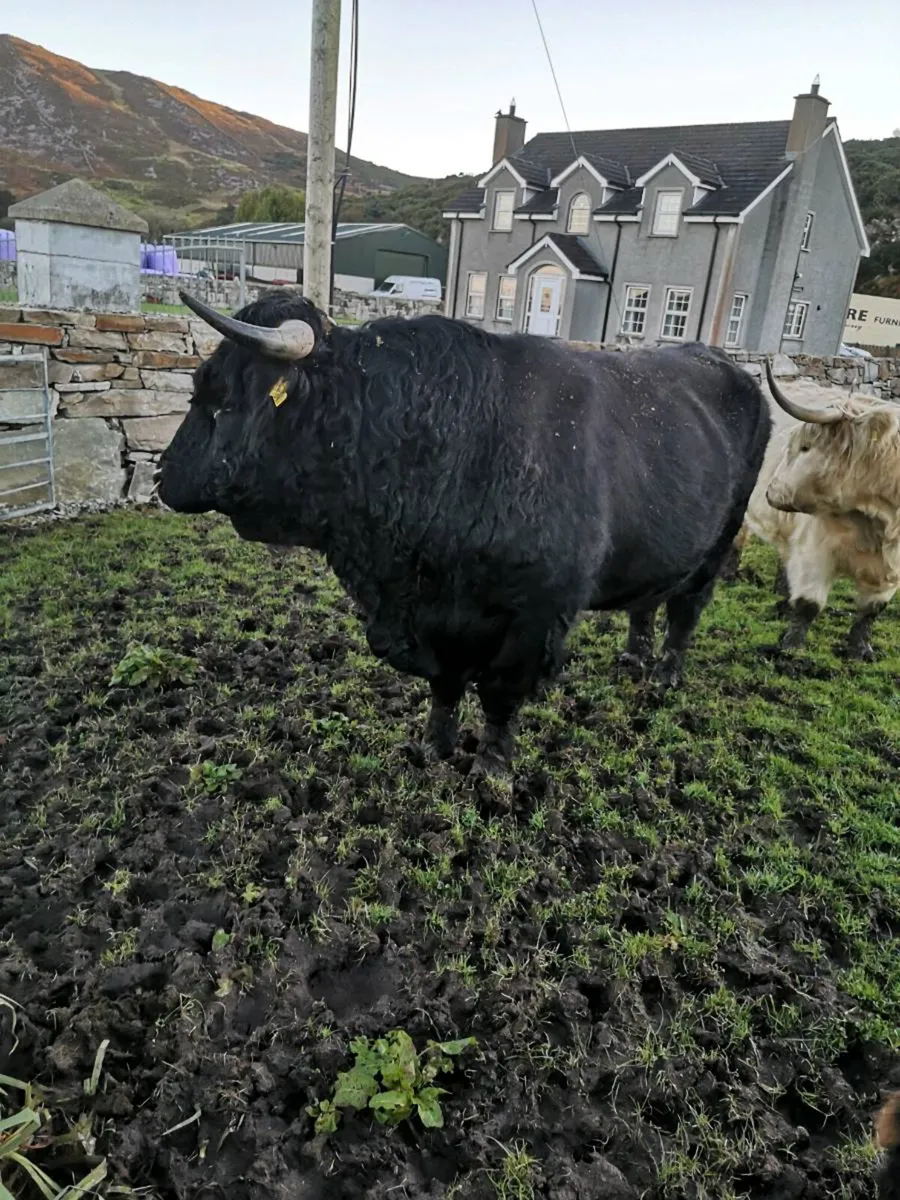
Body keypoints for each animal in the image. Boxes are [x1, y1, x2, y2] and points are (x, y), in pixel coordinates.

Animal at [157, 289, 771, 774]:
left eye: (218, 396)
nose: (161, 474)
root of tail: (727, 365)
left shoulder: (538, 613)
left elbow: (501, 693)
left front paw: (492, 767)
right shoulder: (431, 616)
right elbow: (445, 685)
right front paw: (434, 746)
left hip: (718, 543)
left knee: (686, 609)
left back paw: (665, 674)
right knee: (648, 602)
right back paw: (633, 659)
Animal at [742, 360, 900, 659]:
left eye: (805, 447)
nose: (769, 491)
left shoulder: (891, 571)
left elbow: (871, 611)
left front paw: (860, 651)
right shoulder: (815, 550)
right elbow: (809, 603)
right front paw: (790, 651)